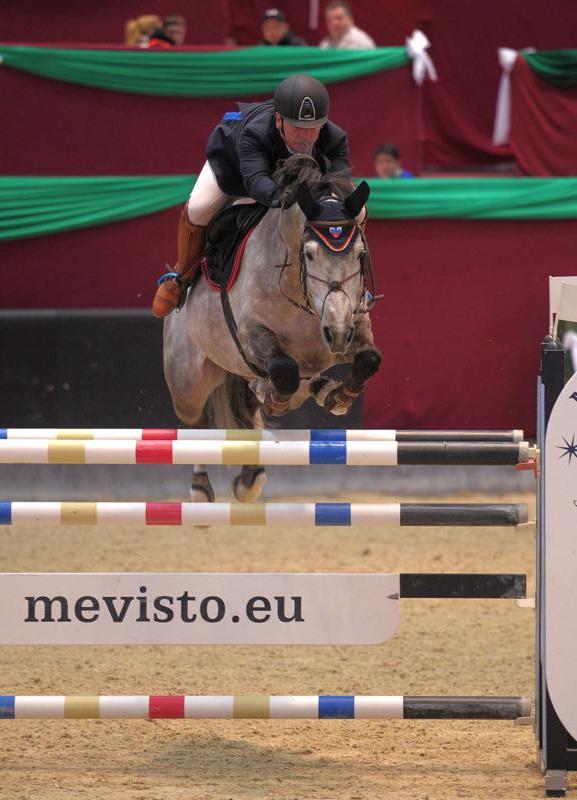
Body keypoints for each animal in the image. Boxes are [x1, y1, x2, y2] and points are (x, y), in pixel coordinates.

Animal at [162, 155, 380, 500]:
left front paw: (339, 398)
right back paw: (200, 487)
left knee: (274, 398)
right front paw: (274, 398)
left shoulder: (354, 323)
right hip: (188, 380)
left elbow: (369, 359)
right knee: (195, 421)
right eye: (309, 254)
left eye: (360, 253)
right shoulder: (253, 336)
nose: (336, 333)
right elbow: (283, 370)